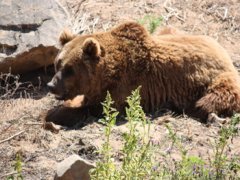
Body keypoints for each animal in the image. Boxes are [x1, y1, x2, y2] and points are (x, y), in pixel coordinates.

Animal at [47, 21, 240, 122]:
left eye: (69, 70)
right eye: (57, 64)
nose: (51, 85)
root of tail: (221, 50)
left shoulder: (125, 88)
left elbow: (99, 108)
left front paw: (54, 113)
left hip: (218, 79)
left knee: (212, 99)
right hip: (172, 32)